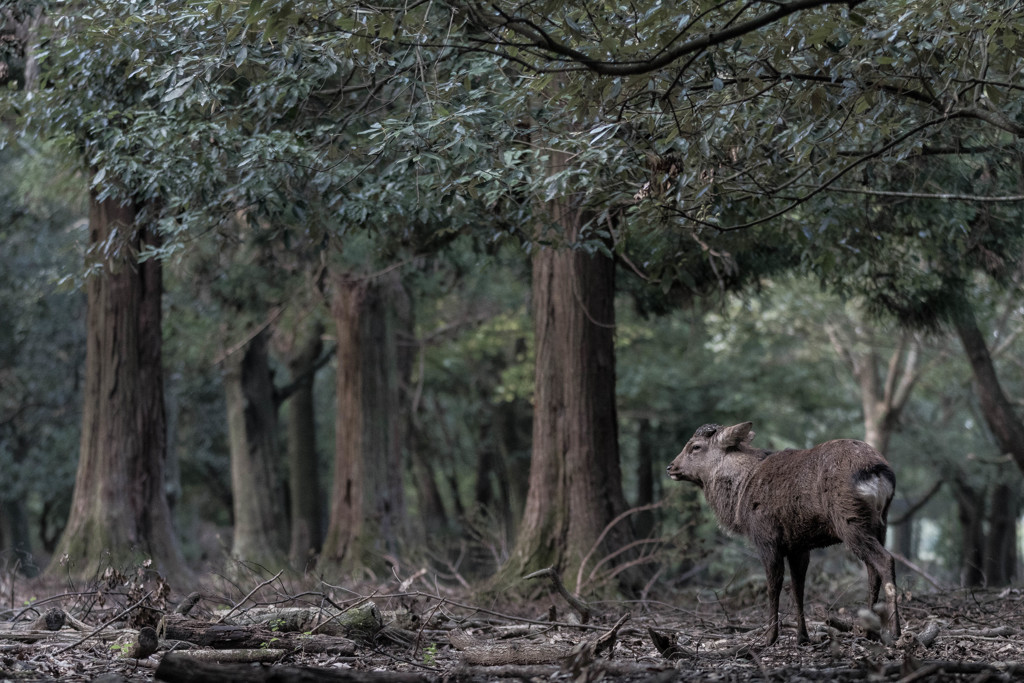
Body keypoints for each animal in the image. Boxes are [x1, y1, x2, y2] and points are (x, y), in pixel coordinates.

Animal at [667, 421, 901, 647]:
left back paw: (895, 631)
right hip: (880, 524)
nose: (671, 467)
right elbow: (798, 588)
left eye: (695, 447)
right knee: (872, 570)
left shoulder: (766, 538)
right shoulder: (798, 545)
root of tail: (878, 471)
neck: (741, 492)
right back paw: (869, 631)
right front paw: (802, 637)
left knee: (885, 560)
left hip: (850, 520)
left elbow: (774, 586)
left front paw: (770, 638)